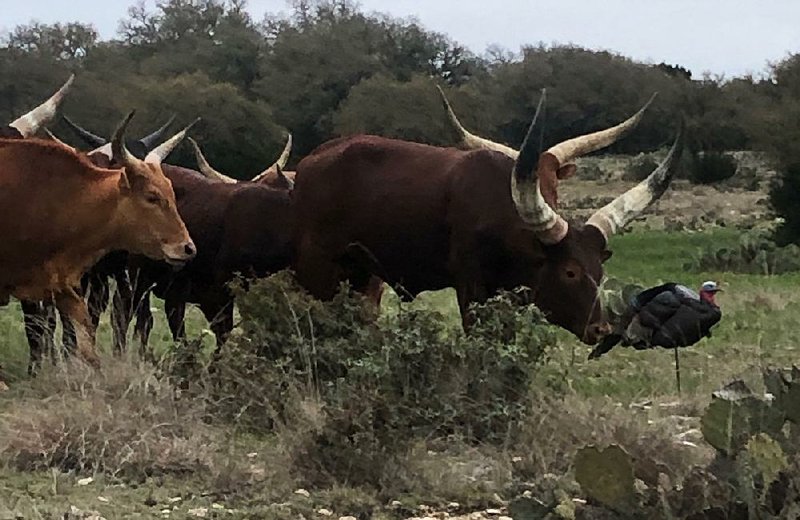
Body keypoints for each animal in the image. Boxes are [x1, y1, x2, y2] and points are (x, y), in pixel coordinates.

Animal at [290, 91, 684, 344]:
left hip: (362, 277)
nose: (601, 329)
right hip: (317, 271)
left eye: (599, 270)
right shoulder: (471, 287)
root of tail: (307, 165)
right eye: (570, 272)